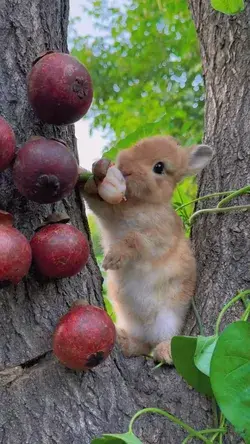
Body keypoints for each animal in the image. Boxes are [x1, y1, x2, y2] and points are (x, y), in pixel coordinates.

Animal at [80, 136, 213, 364]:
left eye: (159, 167)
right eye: (136, 145)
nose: (124, 168)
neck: (141, 203)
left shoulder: (157, 239)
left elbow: (134, 239)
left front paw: (112, 259)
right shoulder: (110, 213)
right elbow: (98, 202)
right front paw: (93, 173)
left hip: (168, 318)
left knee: (163, 340)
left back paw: (166, 352)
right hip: (131, 321)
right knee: (141, 345)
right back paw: (124, 341)